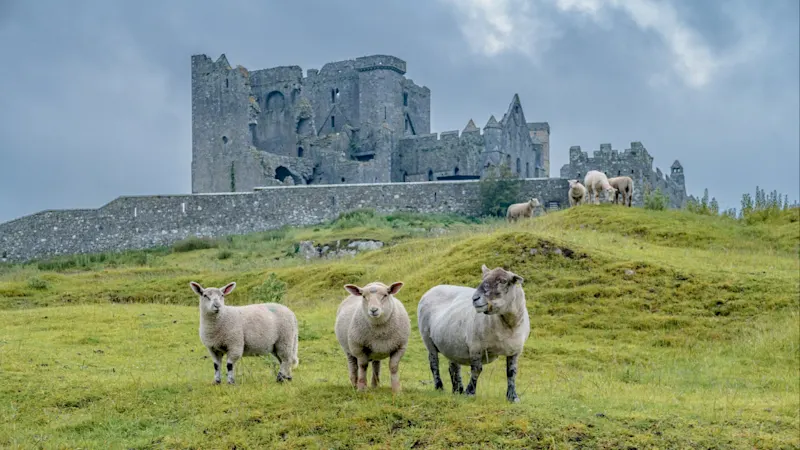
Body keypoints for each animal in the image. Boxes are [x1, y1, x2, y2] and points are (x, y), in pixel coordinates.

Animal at [417, 264, 530, 402]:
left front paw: (513, 397)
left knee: (454, 367)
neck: (508, 325)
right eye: (483, 278)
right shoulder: (476, 346)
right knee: (434, 363)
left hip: (451, 343)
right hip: (428, 339)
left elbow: (512, 372)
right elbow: (477, 369)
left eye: (503, 281)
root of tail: (433, 288)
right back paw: (440, 387)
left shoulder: (515, 350)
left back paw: (457, 390)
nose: (475, 298)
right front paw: (470, 392)